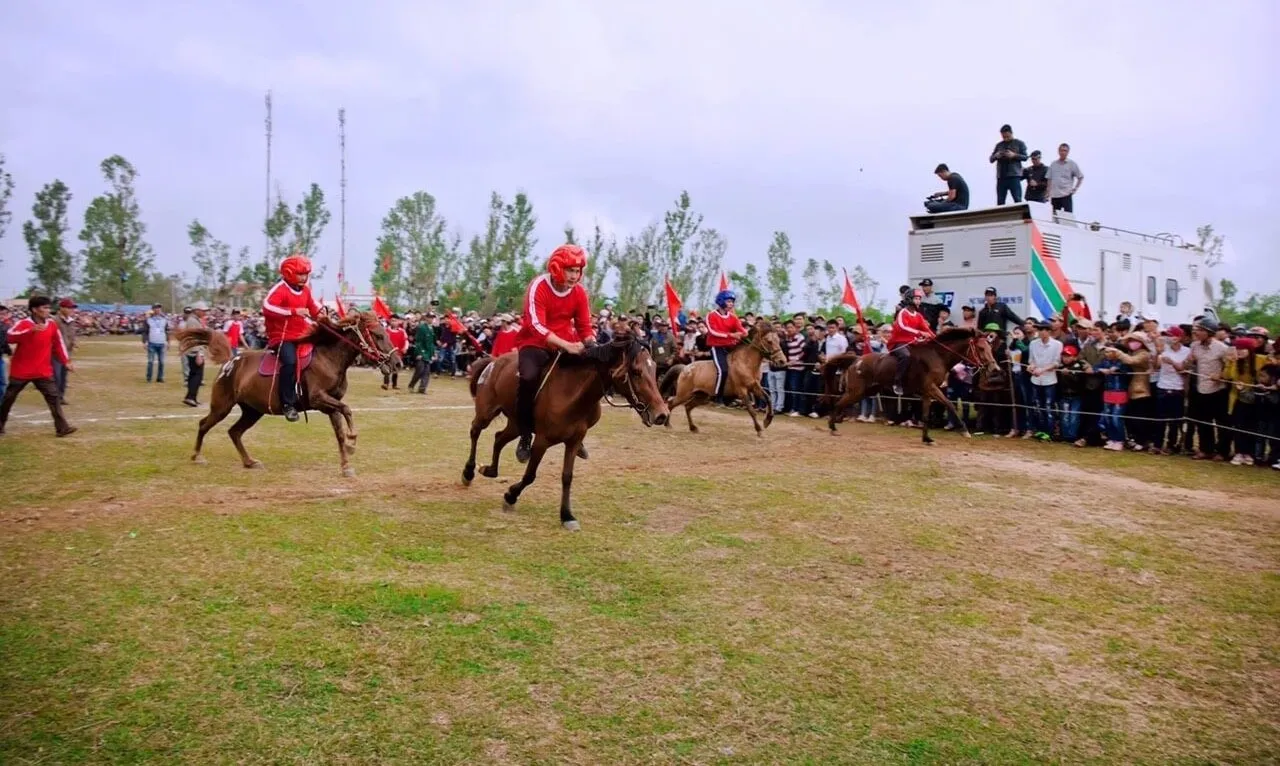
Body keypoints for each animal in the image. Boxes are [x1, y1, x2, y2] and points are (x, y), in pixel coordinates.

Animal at [174, 311, 394, 473]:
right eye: (378, 335)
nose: (396, 362)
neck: (329, 358)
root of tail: (229, 361)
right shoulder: (319, 399)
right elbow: (347, 410)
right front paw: (353, 441)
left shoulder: (331, 404)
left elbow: (339, 431)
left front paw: (346, 464)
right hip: (222, 405)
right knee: (204, 424)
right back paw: (197, 456)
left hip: (252, 411)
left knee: (234, 432)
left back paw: (249, 462)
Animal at [460, 326, 670, 530]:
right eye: (636, 371)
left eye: (654, 369)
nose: (662, 414)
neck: (571, 393)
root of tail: (494, 362)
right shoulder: (542, 441)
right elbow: (530, 475)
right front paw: (510, 496)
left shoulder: (574, 440)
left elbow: (567, 477)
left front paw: (567, 515)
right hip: (487, 412)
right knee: (475, 431)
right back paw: (468, 473)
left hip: (516, 424)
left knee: (498, 438)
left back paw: (489, 470)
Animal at [660, 317, 788, 438]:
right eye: (769, 341)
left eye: (778, 340)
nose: (782, 361)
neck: (746, 363)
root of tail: (685, 368)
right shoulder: (742, 391)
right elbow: (751, 411)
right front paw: (760, 430)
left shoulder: (754, 386)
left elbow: (768, 398)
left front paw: (767, 421)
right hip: (684, 394)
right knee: (671, 403)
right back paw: (667, 424)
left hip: (702, 395)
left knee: (687, 406)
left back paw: (693, 428)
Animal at [819, 327, 998, 448]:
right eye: (981, 348)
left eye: (990, 348)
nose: (994, 368)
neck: (937, 356)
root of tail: (856, 359)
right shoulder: (932, 388)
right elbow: (950, 405)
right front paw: (964, 430)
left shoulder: (927, 393)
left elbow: (925, 416)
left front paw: (927, 439)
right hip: (856, 391)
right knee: (839, 403)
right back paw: (833, 426)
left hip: (865, 391)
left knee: (842, 403)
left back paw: (836, 422)